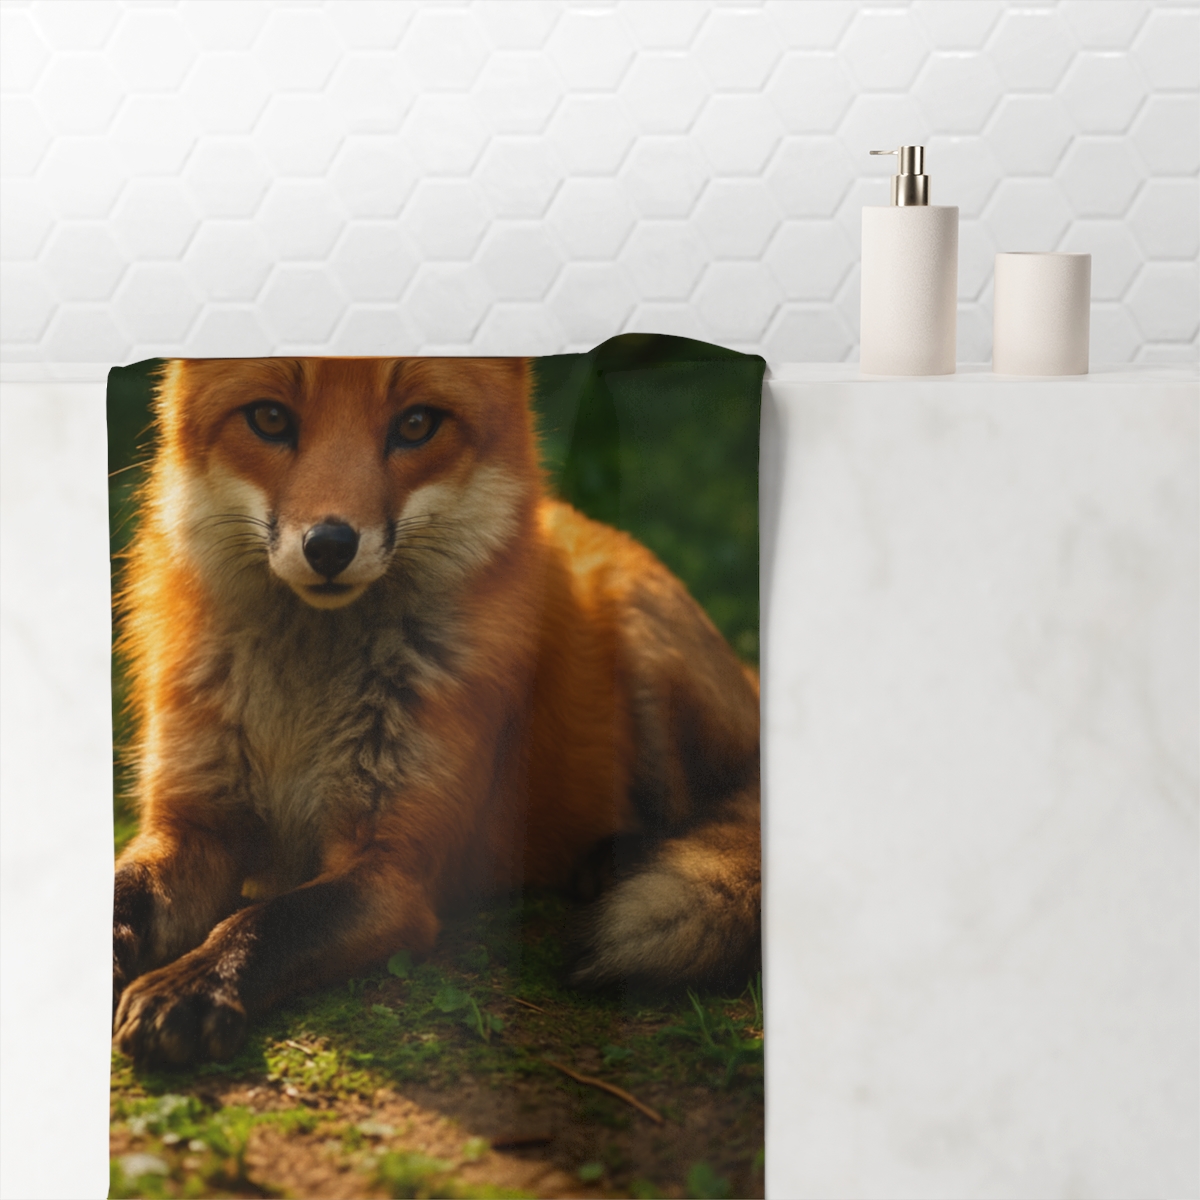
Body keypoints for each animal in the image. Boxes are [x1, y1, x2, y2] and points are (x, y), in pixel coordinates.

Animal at [111, 356, 761, 1067]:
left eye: (417, 424)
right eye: (270, 418)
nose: (330, 545)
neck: (300, 709)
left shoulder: (393, 871)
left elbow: (264, 921)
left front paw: (196, 986)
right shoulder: (191, 828)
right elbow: (117, 892)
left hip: (646, 652)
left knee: (708, 808)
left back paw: (615, 861)